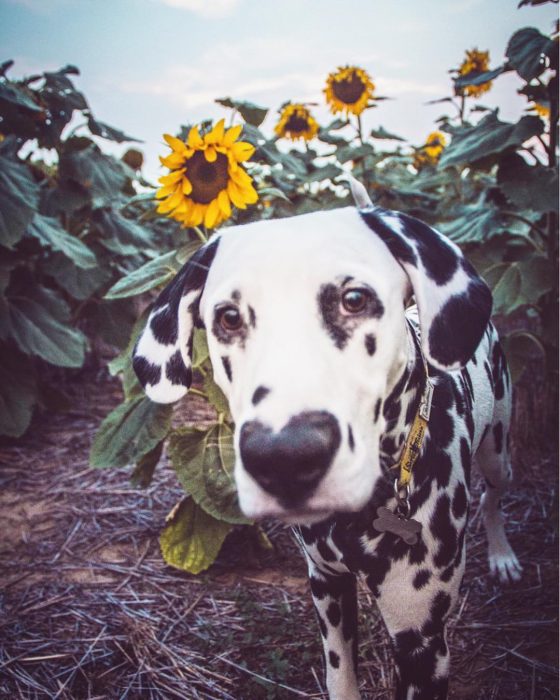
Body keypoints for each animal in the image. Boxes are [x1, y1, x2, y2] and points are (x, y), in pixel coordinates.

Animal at [131, 183, 520, 696]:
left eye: (354, 298)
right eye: (228, 317)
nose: (284, 457)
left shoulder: (421, 638)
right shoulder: (327, 586)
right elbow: (340, 675)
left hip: (498, 450)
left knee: (494, 497)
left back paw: (502, 555)